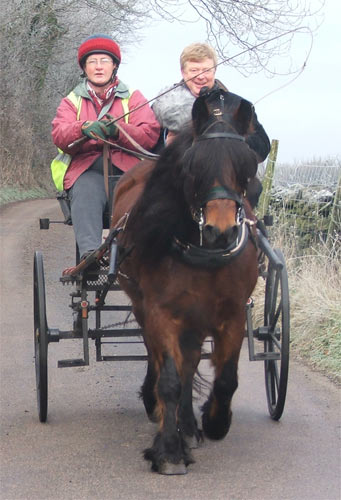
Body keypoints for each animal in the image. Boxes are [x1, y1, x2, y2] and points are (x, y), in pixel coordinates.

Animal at [111, 88, 258, 474]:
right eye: (195, 165)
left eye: (247, 164)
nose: (221, 231)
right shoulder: (162, 312)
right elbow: (170, 381)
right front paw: (168, 451)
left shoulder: (232, 314)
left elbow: (226, 378)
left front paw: (213, 421)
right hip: (146, 307)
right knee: (162, 359)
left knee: (191, 364)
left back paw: (189, 424)